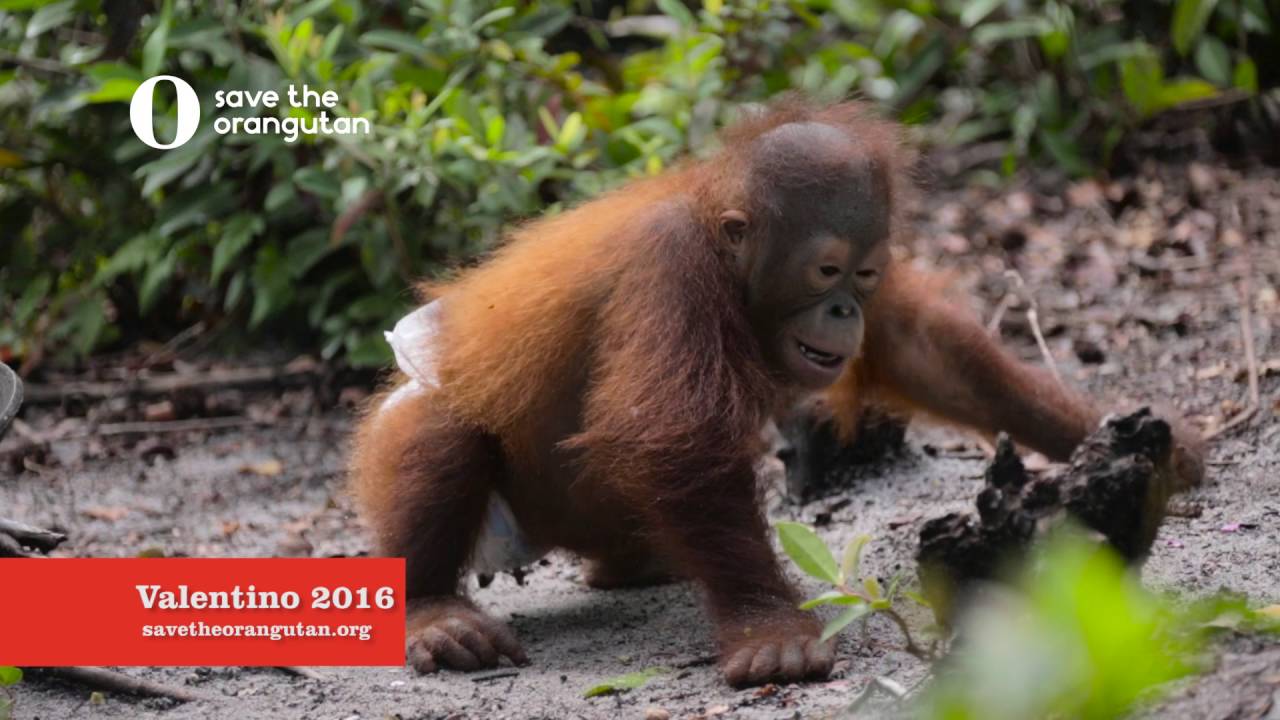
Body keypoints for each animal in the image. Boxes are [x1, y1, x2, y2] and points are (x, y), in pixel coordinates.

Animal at [349, 99, 1205, 688]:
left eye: (865, 272)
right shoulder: (671, 267)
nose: (844, 309)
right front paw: (770, 633)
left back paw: (636, 565)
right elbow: (677, 437)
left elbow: (919, 348)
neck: (718, 238)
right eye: (826, 270)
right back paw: (434, 614)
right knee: (443, 430)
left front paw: (1131, 441)